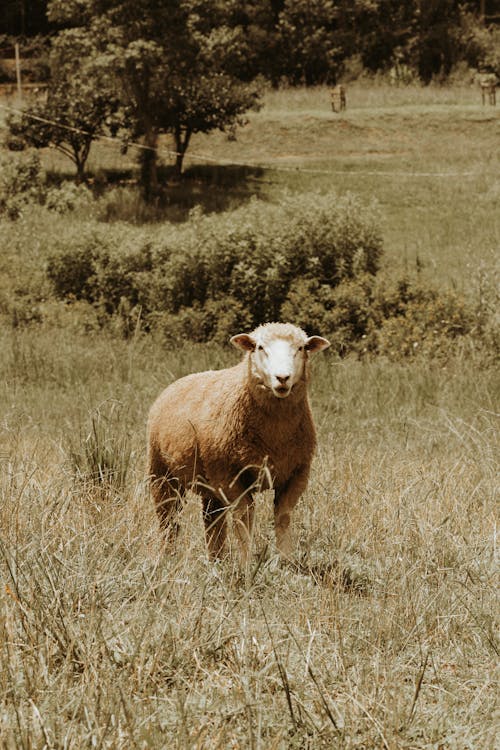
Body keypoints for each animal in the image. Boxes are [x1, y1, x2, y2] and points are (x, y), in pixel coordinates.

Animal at [146, 320, 330, 560]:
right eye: (260, 347)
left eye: (301, 348)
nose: (282, 378)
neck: (275, 437)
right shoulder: (232, 477)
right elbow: (244, 520)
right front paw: (246, 562)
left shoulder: (296, 474)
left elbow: (283, 519)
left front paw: (286, 561)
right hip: (162, 472)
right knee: (168, 519)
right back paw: (168, 555)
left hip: (210, 483)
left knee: (212, 521)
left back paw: (216, 559)